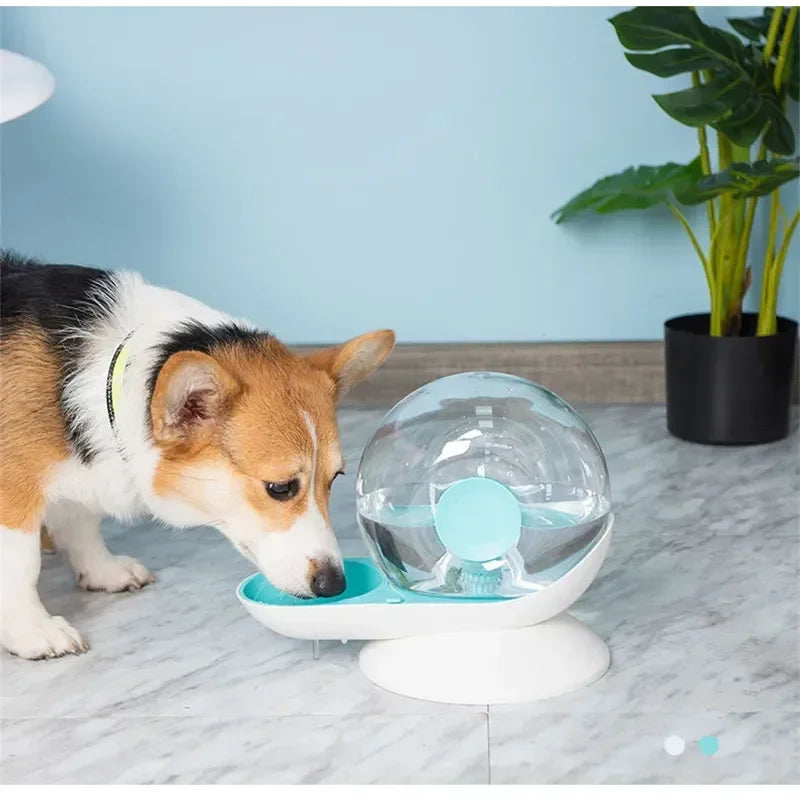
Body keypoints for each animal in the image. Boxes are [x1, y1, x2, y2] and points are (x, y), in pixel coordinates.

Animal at [0, 253, 394, 660]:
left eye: (334, 480)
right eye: (280, 488)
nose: (334, 585)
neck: (113, 379)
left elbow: (81, 522)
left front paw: (102, 570)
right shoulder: (12, 490)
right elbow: (21, 563)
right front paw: (32, 630)